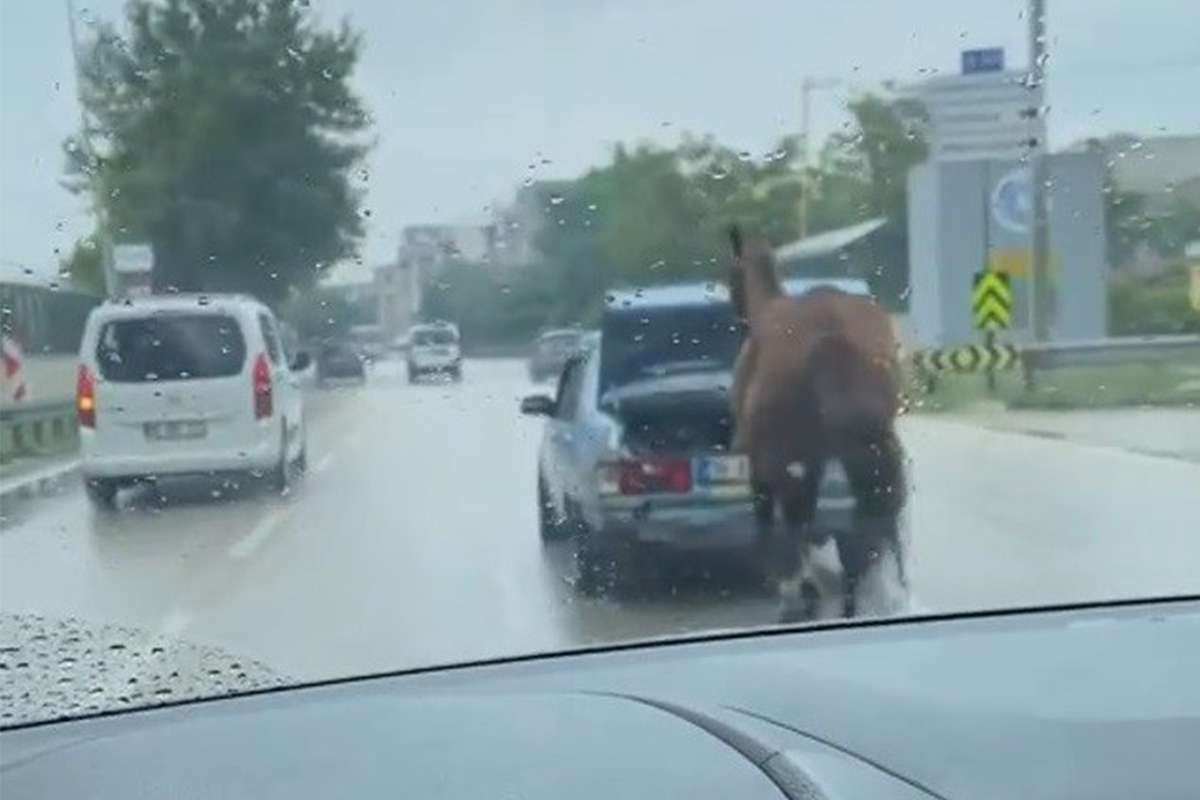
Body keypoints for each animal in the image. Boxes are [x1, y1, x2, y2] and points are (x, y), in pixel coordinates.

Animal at [724, 227, 902, 623]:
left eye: (729, 273)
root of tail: (832, 338)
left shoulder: (762, 463)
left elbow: (771, 521)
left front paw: (790, 589)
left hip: (793, 458)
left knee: (800, 522)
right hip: (874, 451)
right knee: (876, 527)